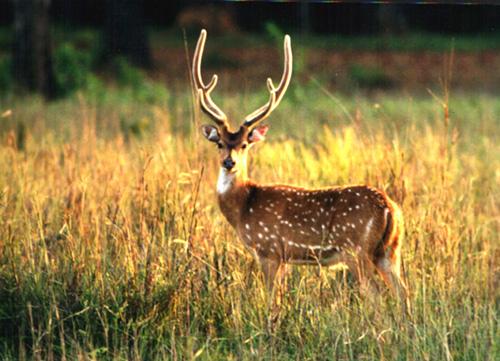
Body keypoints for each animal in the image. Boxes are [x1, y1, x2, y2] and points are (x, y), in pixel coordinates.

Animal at [193, 28, 408, 306]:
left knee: (377, 296)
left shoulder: (269, 249)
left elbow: (271, 300)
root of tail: (390, 208)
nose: (229, 162)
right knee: (403, 293)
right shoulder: (284, 258)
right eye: (219, 143)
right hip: (390, 250)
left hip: (356, 249)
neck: (243, 207)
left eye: (244, 144)